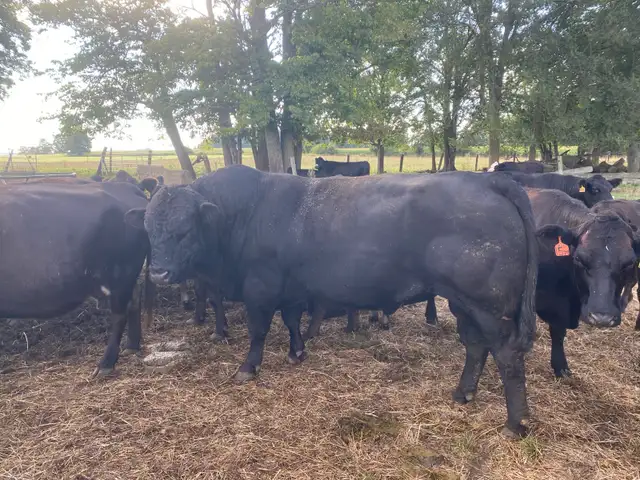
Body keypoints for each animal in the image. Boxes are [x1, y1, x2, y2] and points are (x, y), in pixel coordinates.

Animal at [0, 181, 152, 377]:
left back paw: (106, 364)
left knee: (119, 314)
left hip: (121, 274)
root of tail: (124, 187)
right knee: (134, 298)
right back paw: (132, 346)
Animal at [126, 165, 539, 438]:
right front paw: (297, 352)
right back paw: (463, 392)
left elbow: (259, 331)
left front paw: (248, 368)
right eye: (147, 228)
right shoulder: (291, 288)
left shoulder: (260, 288)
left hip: (488, 305)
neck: (245, 215)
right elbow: (292, 320)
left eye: (184, 230)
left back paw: (515, 423)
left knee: (507, 355)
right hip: (463, 302)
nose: (158, 273)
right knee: (475, 346)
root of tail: (488, 179)